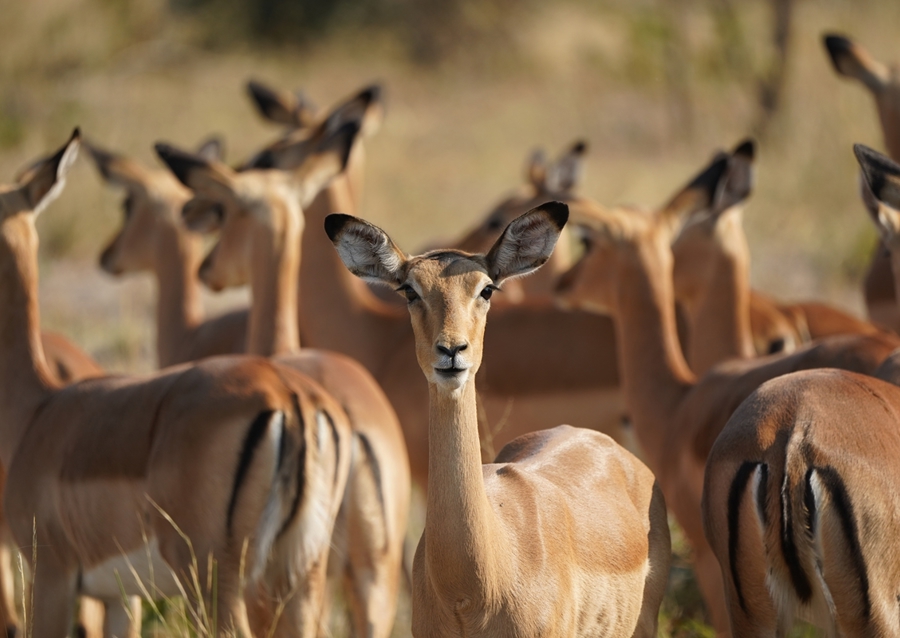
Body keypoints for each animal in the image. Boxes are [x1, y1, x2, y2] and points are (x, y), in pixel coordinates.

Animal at [0, 129, 369, 637]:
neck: (35, 411)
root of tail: (288, 395)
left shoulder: (52, 577)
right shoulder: (120, 597)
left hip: (214, 581)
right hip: (300, 575)